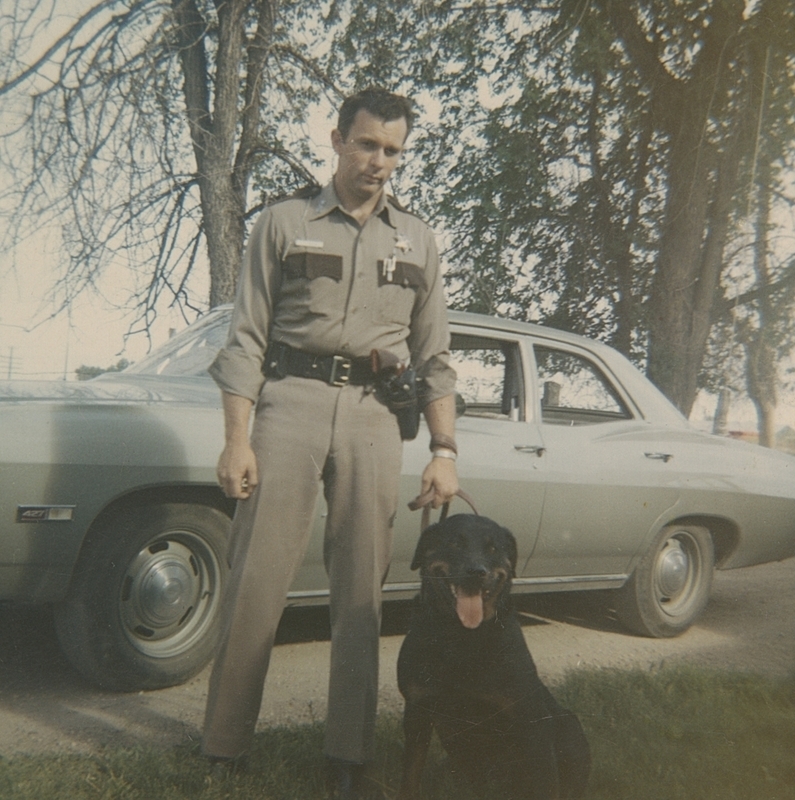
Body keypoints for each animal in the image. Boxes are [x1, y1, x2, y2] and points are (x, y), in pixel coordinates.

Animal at [398, 516, 592, 796]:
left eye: (492, 548)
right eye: (454, 543)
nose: (476, 572)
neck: (462, 637)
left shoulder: (531, 720)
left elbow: (545, 782)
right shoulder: (417, 711)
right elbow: (411, 776)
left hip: (569, 724)